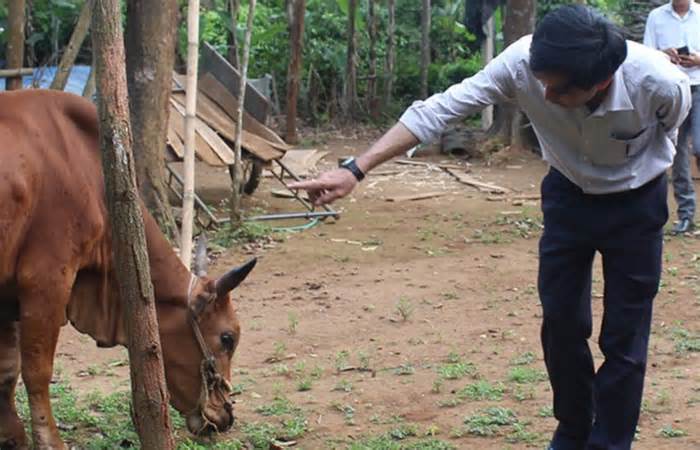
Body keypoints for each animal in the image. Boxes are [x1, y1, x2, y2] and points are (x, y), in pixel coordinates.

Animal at [0, 89, 256, 448]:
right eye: (227, 337)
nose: (226, 415)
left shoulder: (7, 297)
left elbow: (6, 371)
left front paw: (11, 436)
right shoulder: (45, 281)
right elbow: (36, 372)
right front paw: (50, 441)